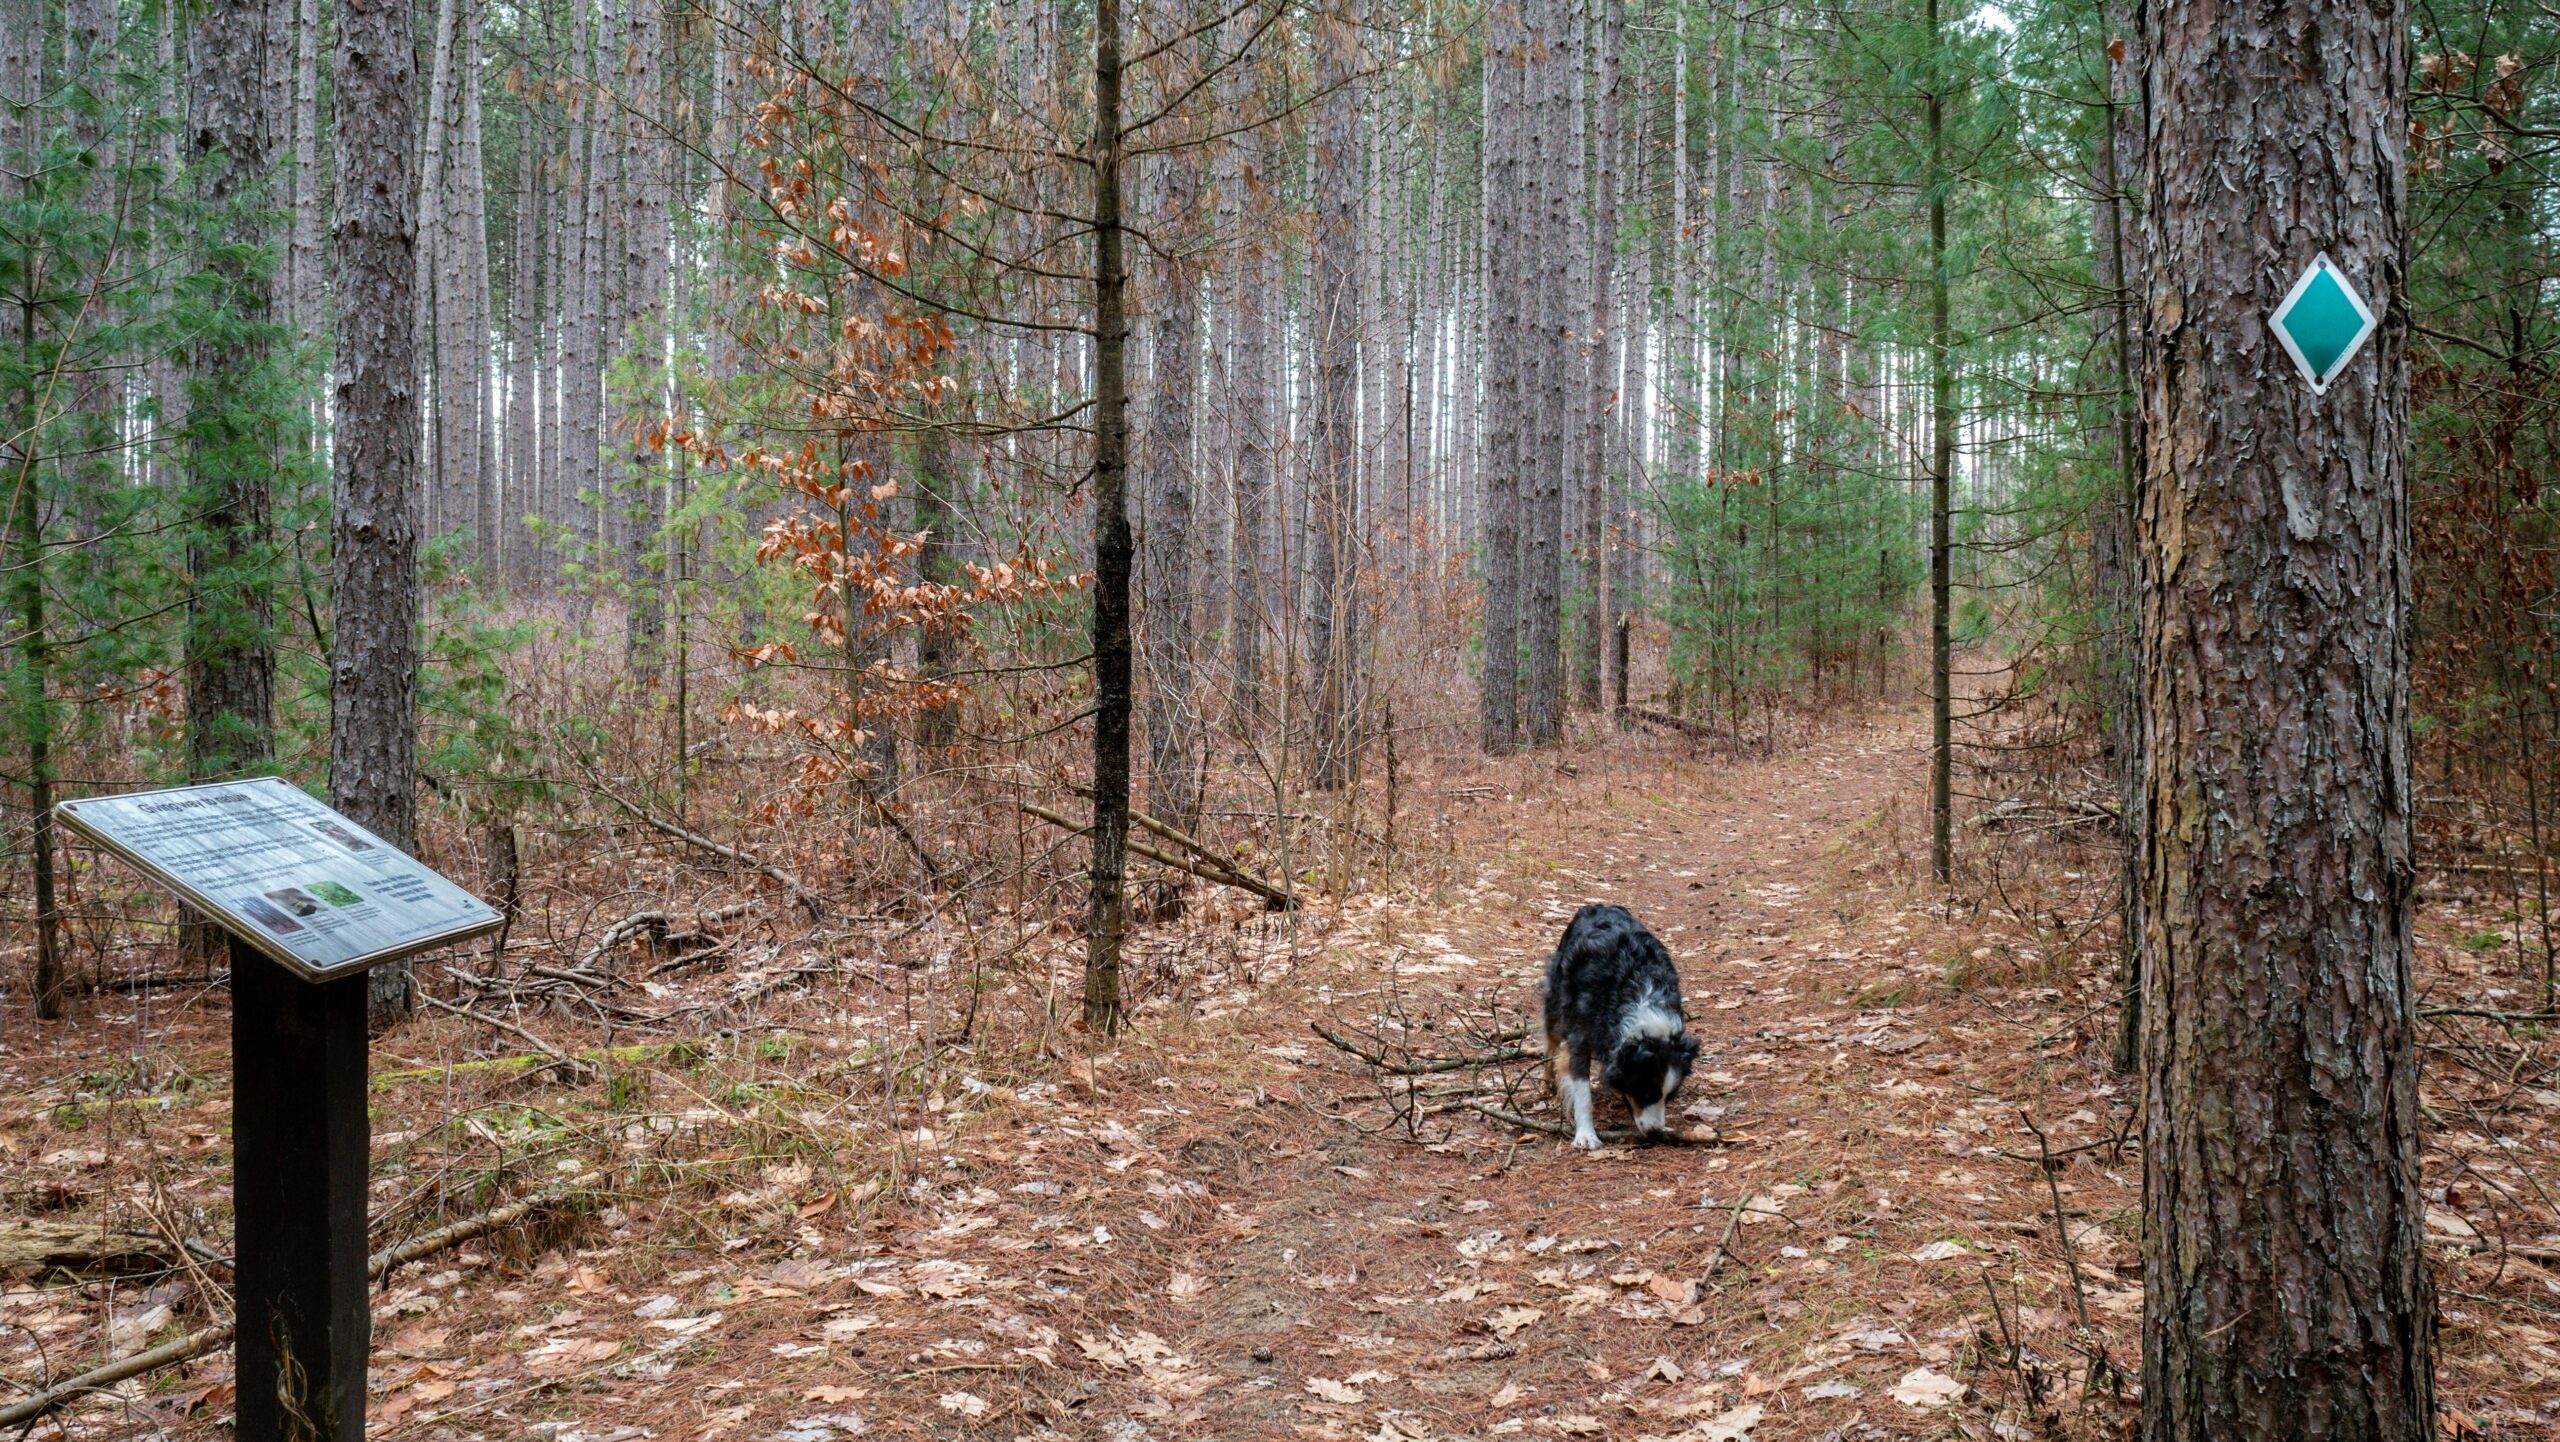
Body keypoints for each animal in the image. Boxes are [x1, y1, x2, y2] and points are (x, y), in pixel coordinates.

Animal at [1536, 901, 1699, 1152]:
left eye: (1670, 1096)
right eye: (1645, 1091)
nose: (1656, 1134)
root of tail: (1598, 905)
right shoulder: (1580, 1034)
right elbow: (1582, 1090)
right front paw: (1586, 1135)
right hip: (1556, 999)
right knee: (1550, 1043)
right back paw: (1547, 1083)